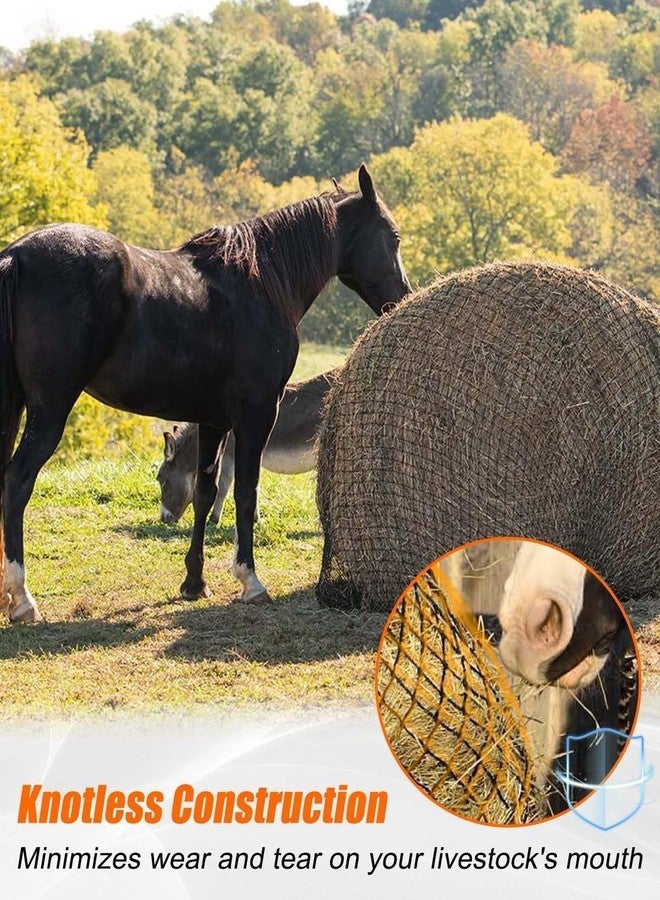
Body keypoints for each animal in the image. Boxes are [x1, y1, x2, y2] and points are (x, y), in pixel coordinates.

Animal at [158, 369, 338, 525]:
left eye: (162, 480)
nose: (164, 519)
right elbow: (254, 485)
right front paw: (255, 518)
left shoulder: (230, 456)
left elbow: (224, 486)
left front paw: (214, 519)